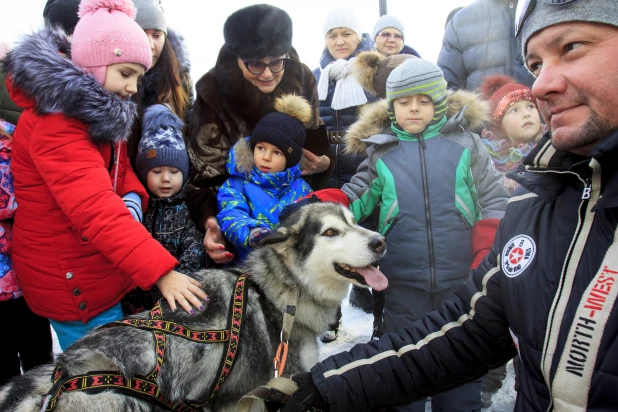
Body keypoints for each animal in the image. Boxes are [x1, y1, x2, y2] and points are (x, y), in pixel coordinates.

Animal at [0, 203, 384, 412]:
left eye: (353, 221)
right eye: (330, 232)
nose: (380, 240)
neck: (278, 292)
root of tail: (59, 374)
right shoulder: (250, 397)